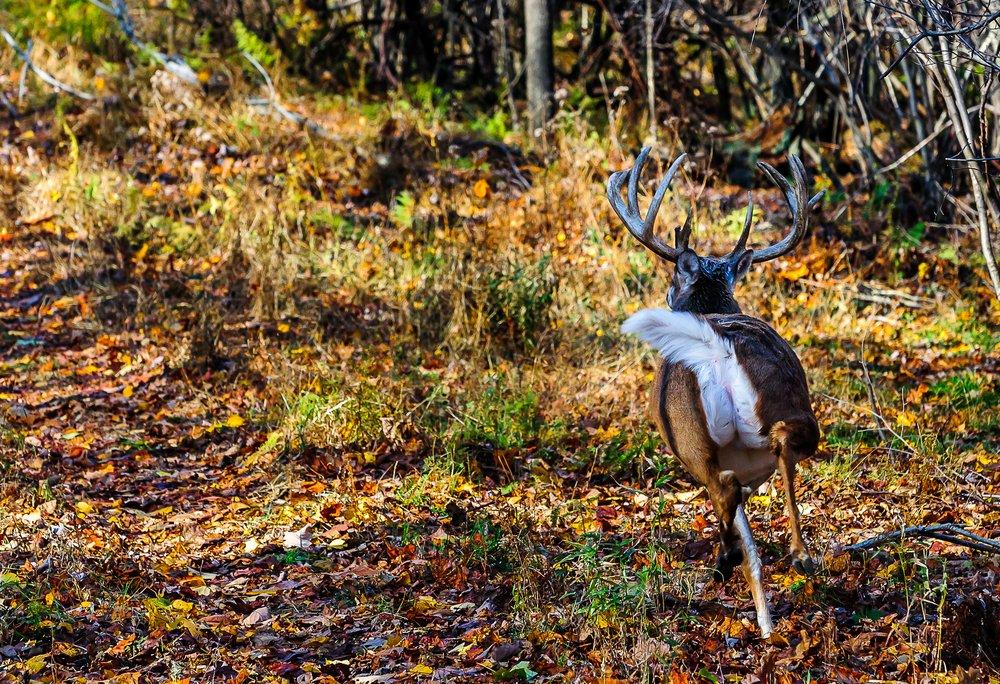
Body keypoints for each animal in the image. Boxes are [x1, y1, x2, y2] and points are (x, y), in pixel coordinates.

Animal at [612, 147, 824, 640]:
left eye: (672, 280)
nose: (669, 299)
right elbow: (752, 542)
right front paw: (765, 618)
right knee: (785, 444)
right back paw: (798, 557)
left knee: (721, 488)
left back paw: (724, 562)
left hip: (690, 436)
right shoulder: (748, 463)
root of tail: (717, 343)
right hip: (788, 403)